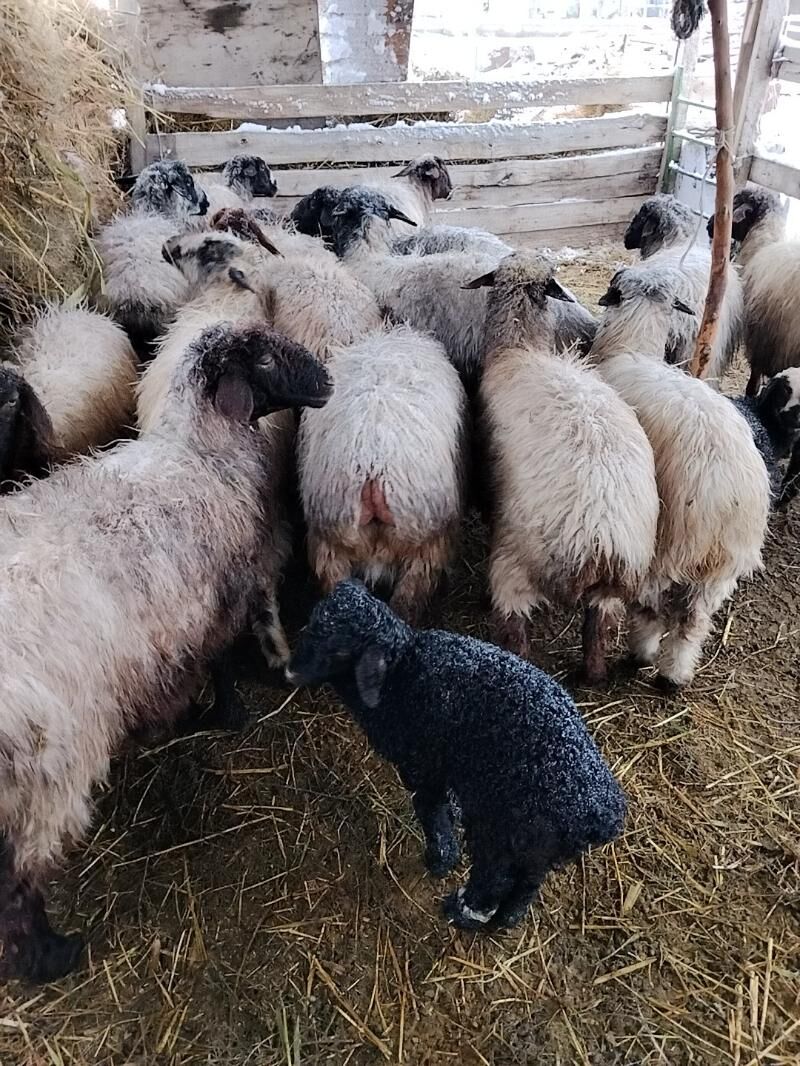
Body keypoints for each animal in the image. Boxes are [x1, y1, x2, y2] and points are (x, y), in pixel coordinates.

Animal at [0, 322, 331, 983]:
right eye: (264, 356)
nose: (329, 380)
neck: (199, 451)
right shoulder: (221, 593)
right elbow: (220, 662)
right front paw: (225, 714)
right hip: (51, 767)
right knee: (19, 890)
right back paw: (52, 958)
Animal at [286, 580, 627, 931]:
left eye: (339, 649)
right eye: (312, 622)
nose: (289, 672)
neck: (400, 675)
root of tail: (599, 816)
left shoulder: (421, 763)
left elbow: (430, 809)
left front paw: (440, 858)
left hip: (504, 829)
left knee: (496, 878)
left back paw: (463, 911)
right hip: (536, 846)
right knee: (528, 883)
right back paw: (507, 920)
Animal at [470, 253, 659, 682]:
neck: (520, 348)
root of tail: (603, 542)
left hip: (516, 564)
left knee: (516, 633)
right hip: (610, 591)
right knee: (597, 635)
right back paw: (592, 674)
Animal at [591, 266, 770, 689]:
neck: (632, 345)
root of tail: (724, 498)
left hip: (667, 544)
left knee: (652, 608)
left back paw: (640, 654)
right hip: (722, 568)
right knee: (693, 621)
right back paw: (675, 674)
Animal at [708, 186, 798, 396]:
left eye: (735, 203)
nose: (708, 225)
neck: (762, 244)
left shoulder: (761, 341)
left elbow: (754, 378)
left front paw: (750, 393)